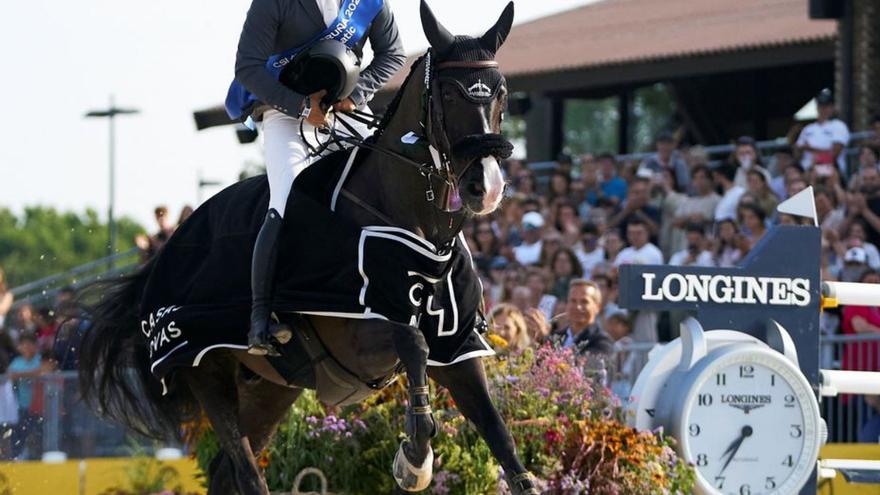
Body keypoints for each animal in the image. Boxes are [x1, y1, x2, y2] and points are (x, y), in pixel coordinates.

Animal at [77, 1, 536, 494]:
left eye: (501, 93)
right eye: (448, 94)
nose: (485, 187)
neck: (416, 225)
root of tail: (166, 252)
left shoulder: (457, 344)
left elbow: (501, 437)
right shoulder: (359, 336)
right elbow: (411, 339)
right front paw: (414, 457)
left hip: (271, 389)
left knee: (225, 470)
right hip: (205, 371)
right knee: (245, 470)